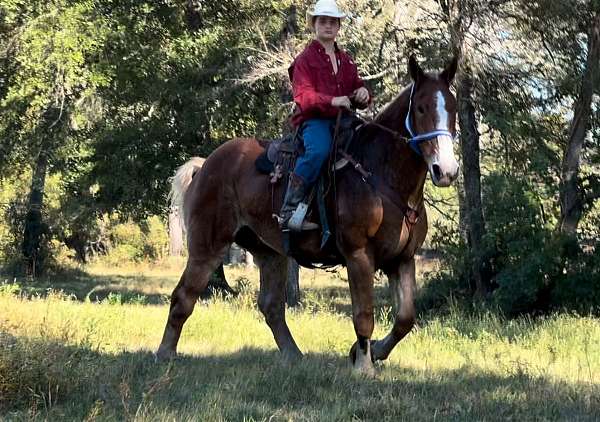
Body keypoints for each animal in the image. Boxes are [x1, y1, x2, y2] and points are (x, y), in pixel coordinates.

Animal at [156, 55, 460, 376]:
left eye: (452, 107)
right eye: (421, 107)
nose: (446, 170)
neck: (382, 174)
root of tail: (205, 166)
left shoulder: (402, 259)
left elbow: (405, 319)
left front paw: (371, 352)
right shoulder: (359, 255)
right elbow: (364, 314)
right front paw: (363, 366)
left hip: (269, 253)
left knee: (271, 306)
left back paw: (294, 356)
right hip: (207, 247)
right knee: (183, 297)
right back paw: (165, 353)